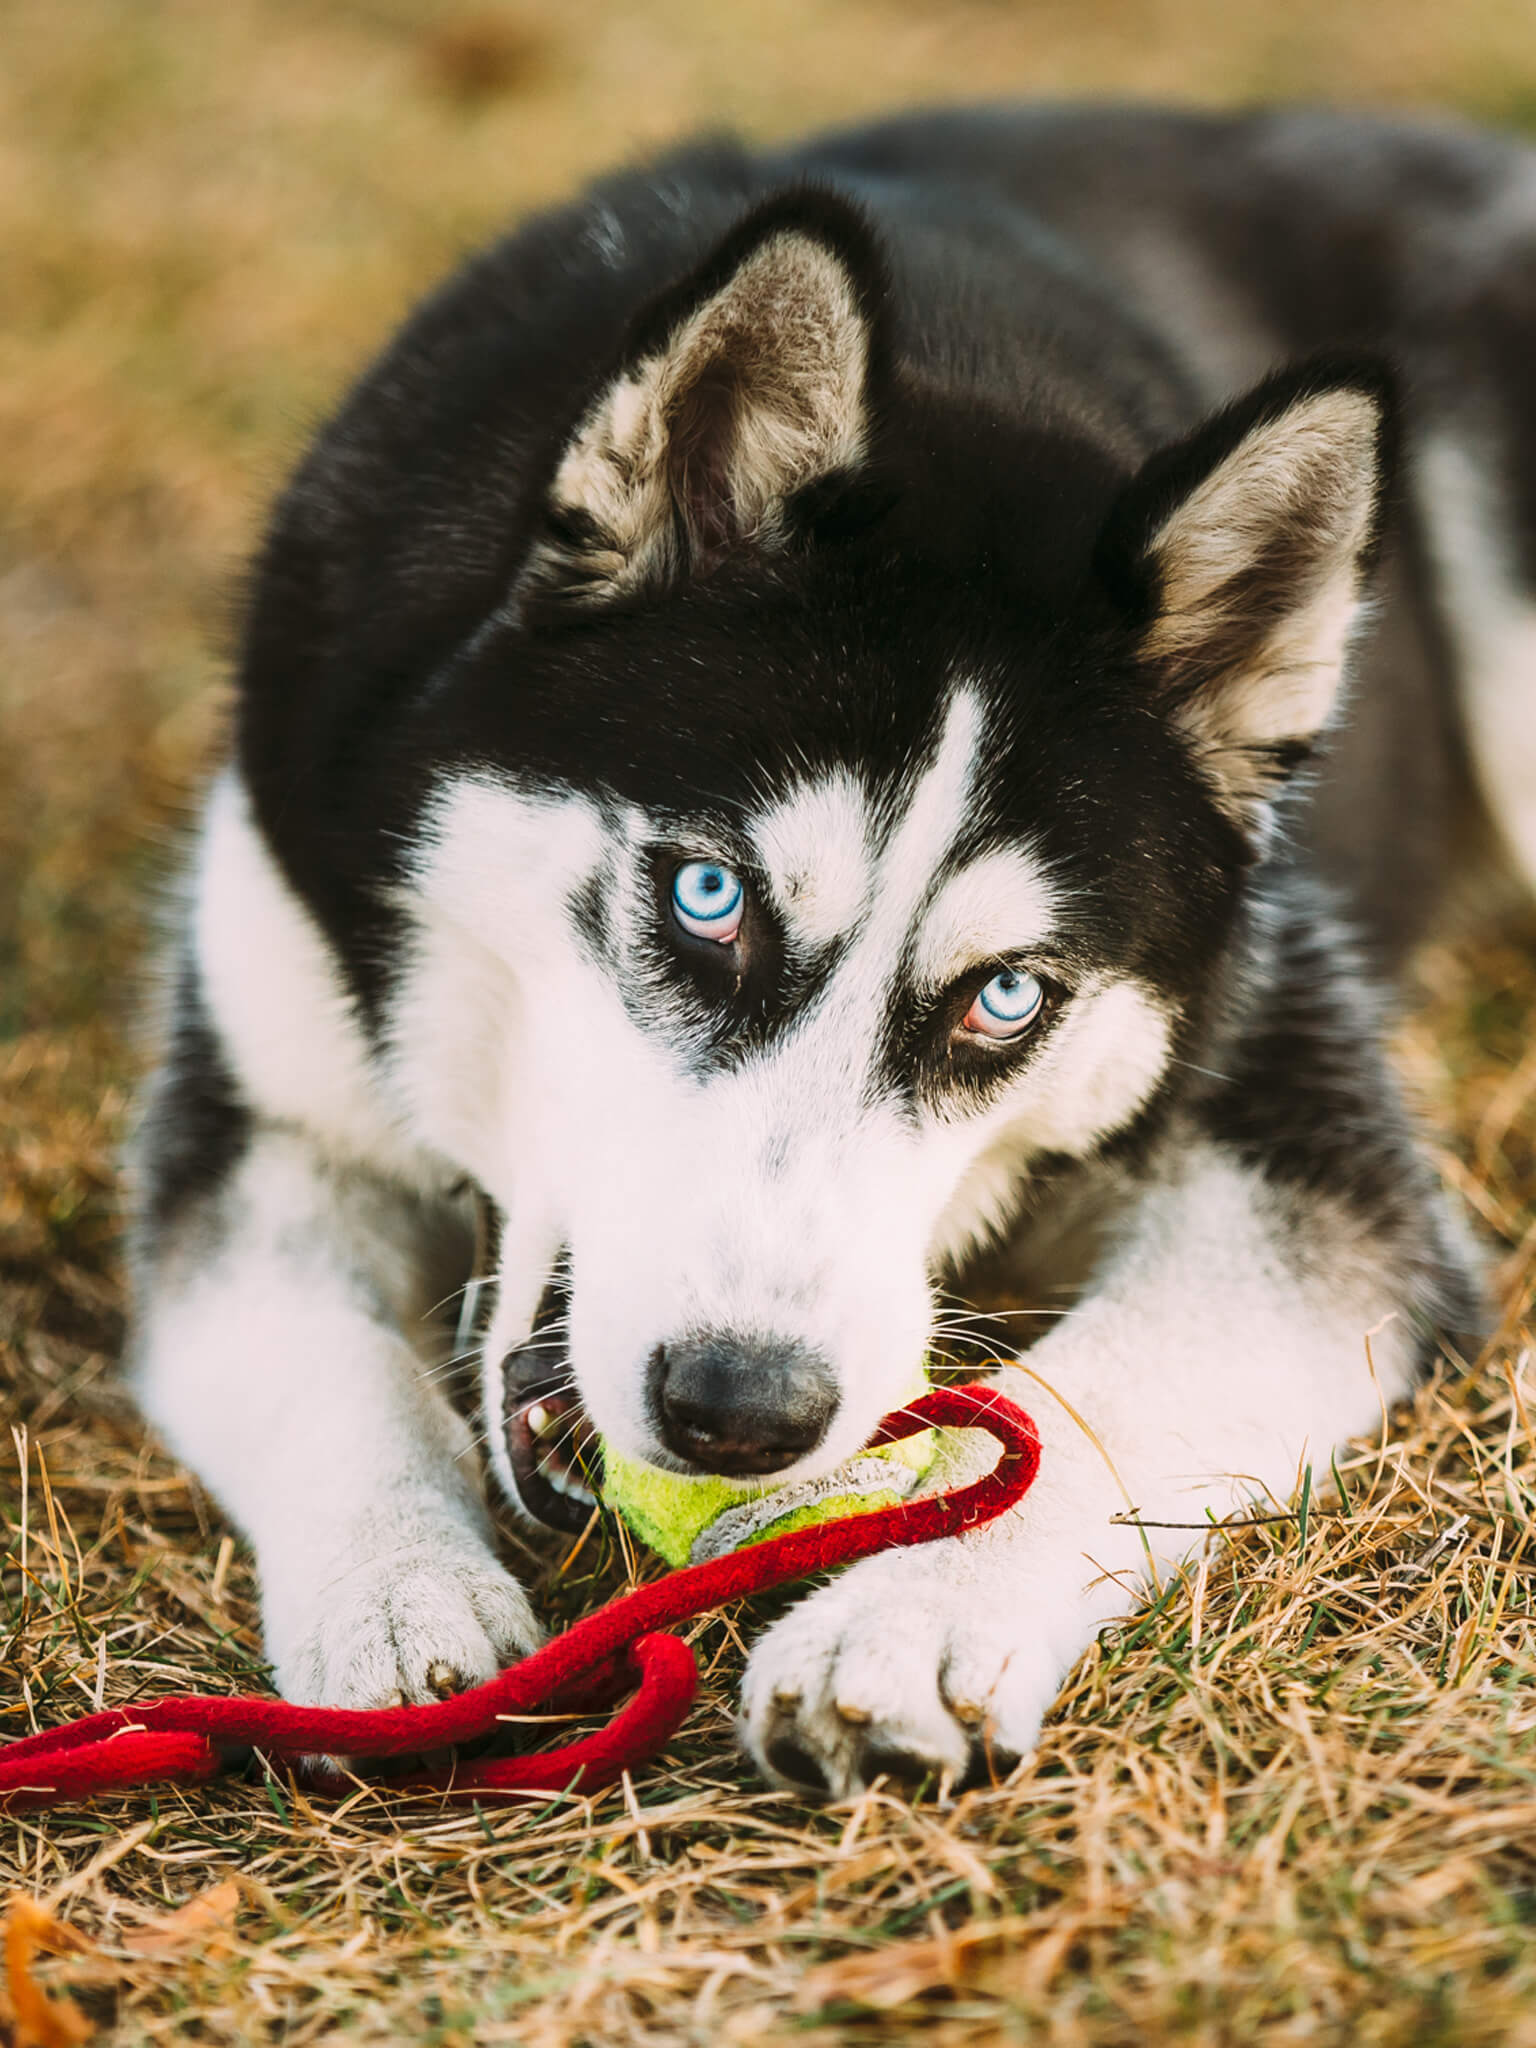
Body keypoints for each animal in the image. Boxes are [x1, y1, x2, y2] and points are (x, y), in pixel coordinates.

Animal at [126, 103, 1531, 1794]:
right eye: (706, 896)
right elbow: (312, 1358)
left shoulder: (1308, 1140)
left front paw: (905, 1619)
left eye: (1010, 997)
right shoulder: (266, 1106)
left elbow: (1095, 1396)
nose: (742, 1409)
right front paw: (395, 1597)